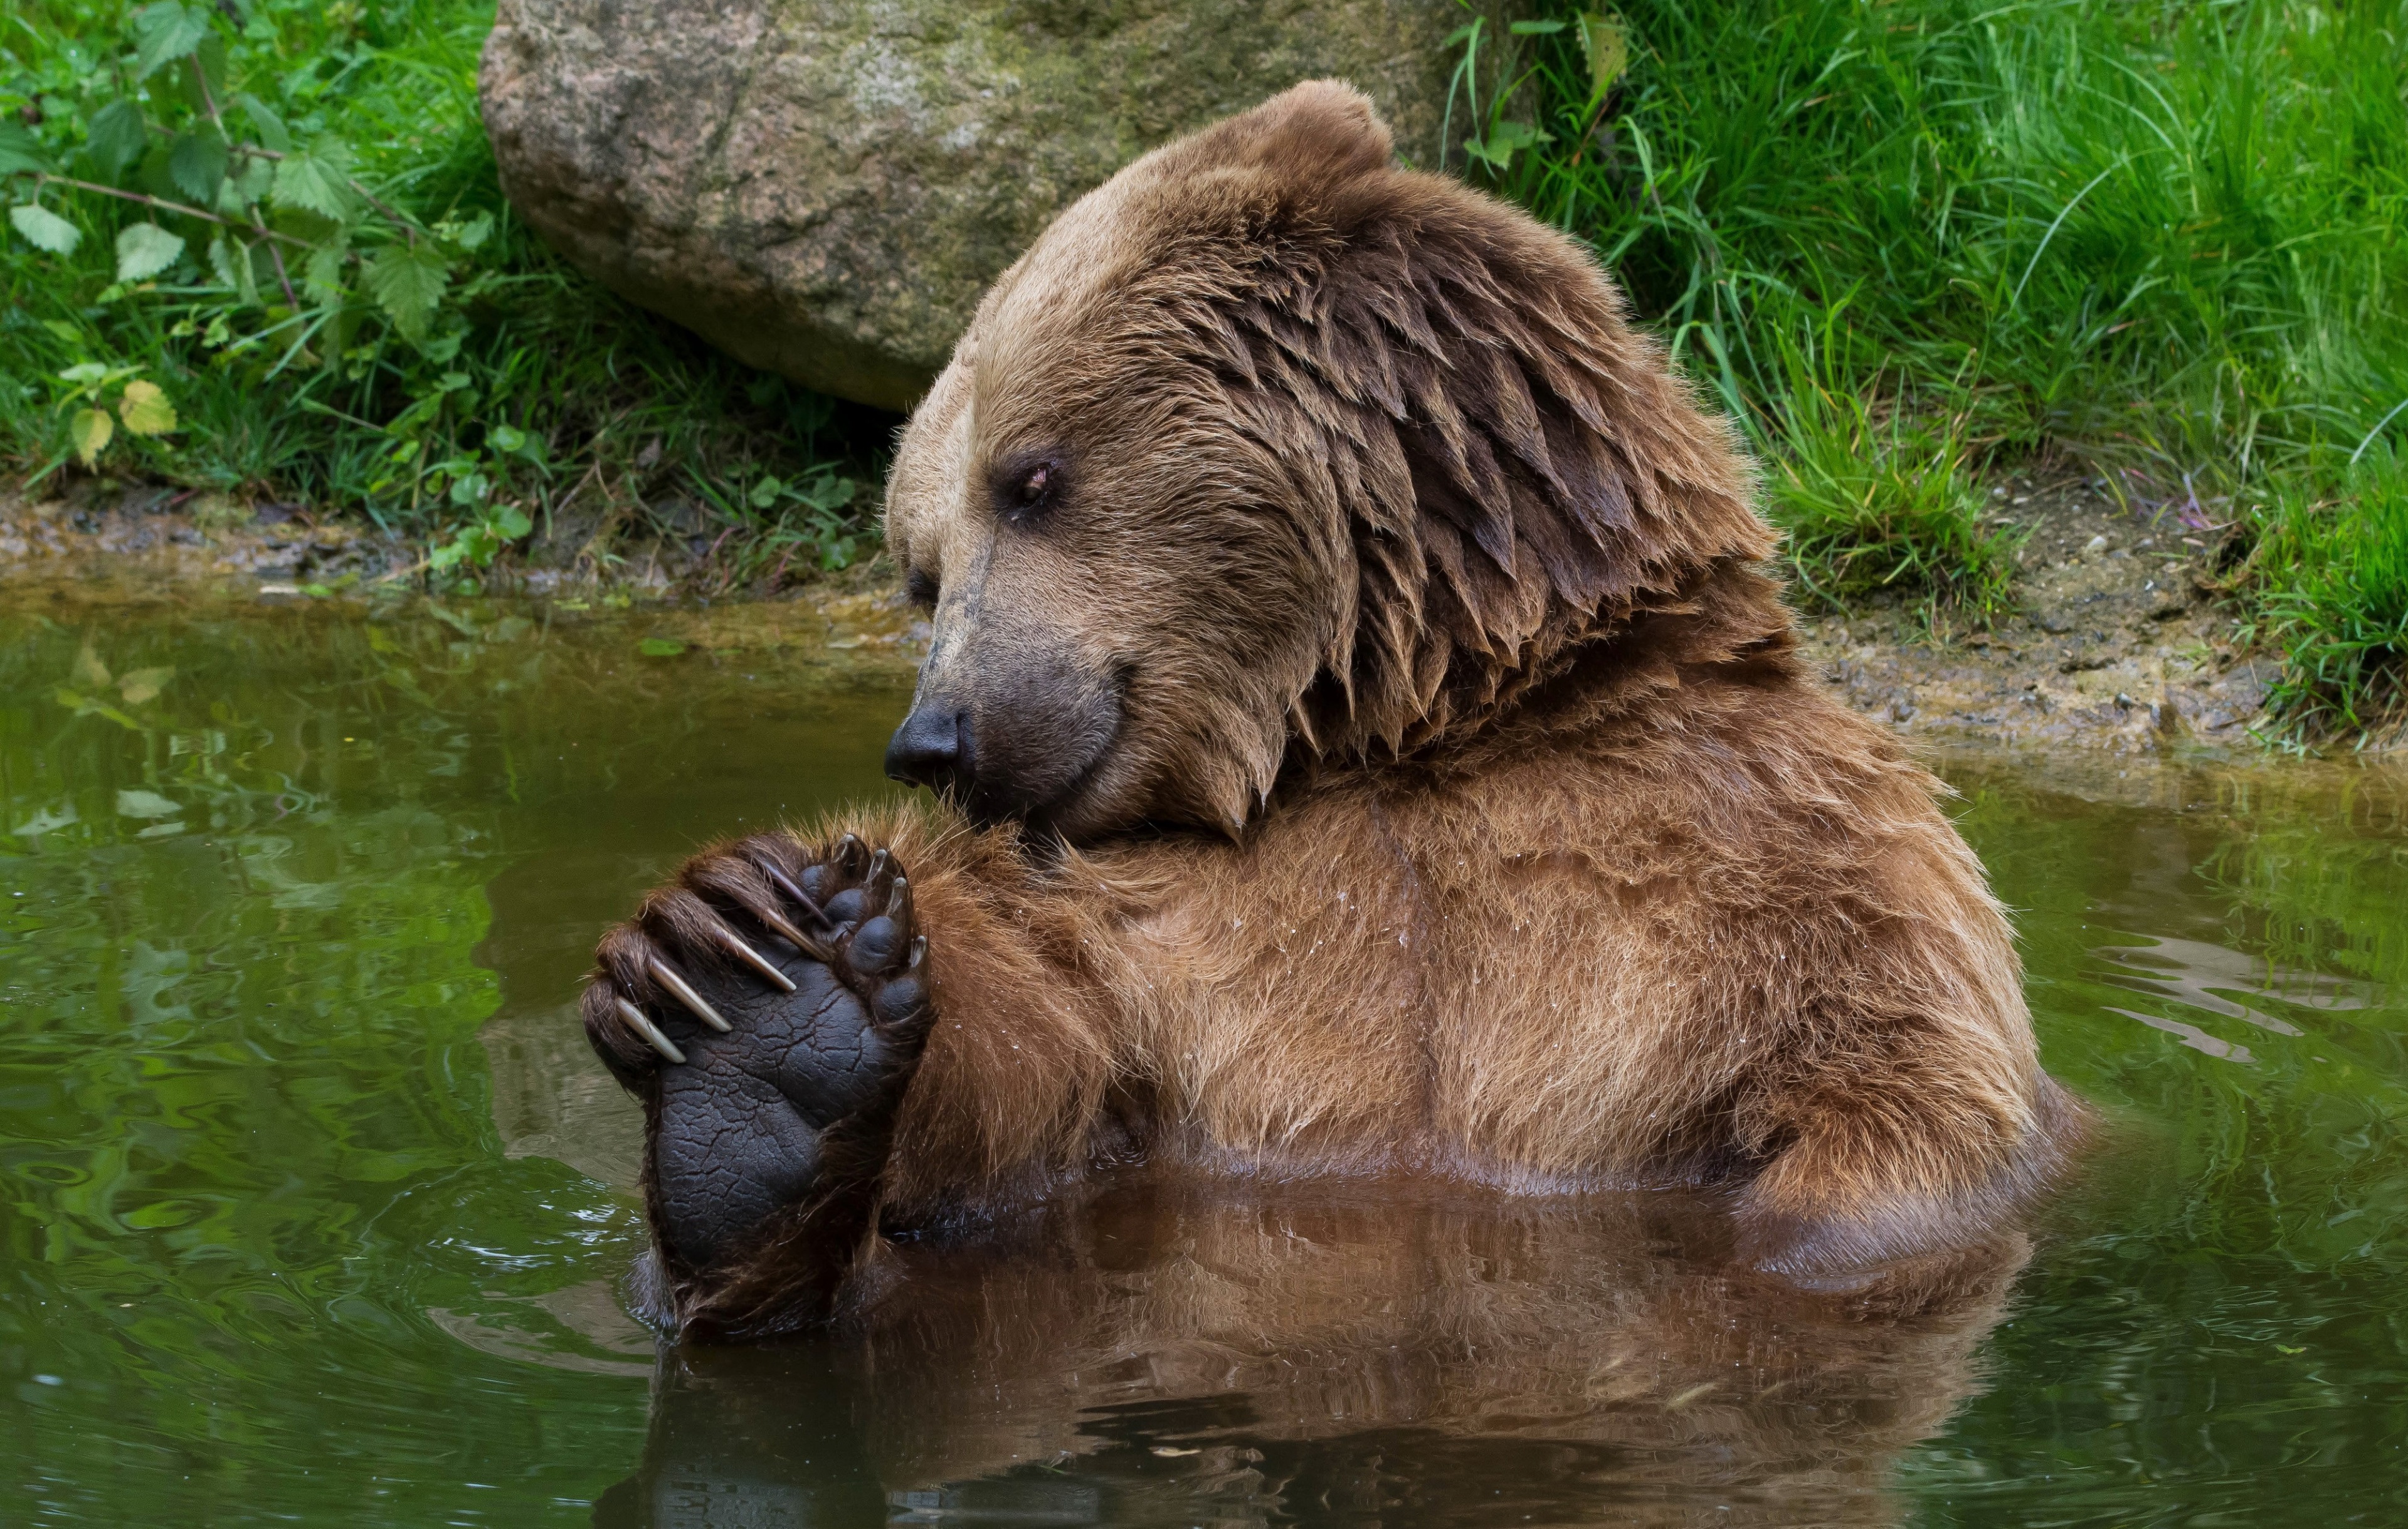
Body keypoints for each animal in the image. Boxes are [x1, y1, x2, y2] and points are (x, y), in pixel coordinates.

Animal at [579, 80, 2083, 1337]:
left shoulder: (1786, 872)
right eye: (920, 566)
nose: (935, 738)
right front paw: (758, 988)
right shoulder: (1170, 947)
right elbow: (1037, 1060)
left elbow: (1893, 1111)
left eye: (1032, 478)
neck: (1414, 729)